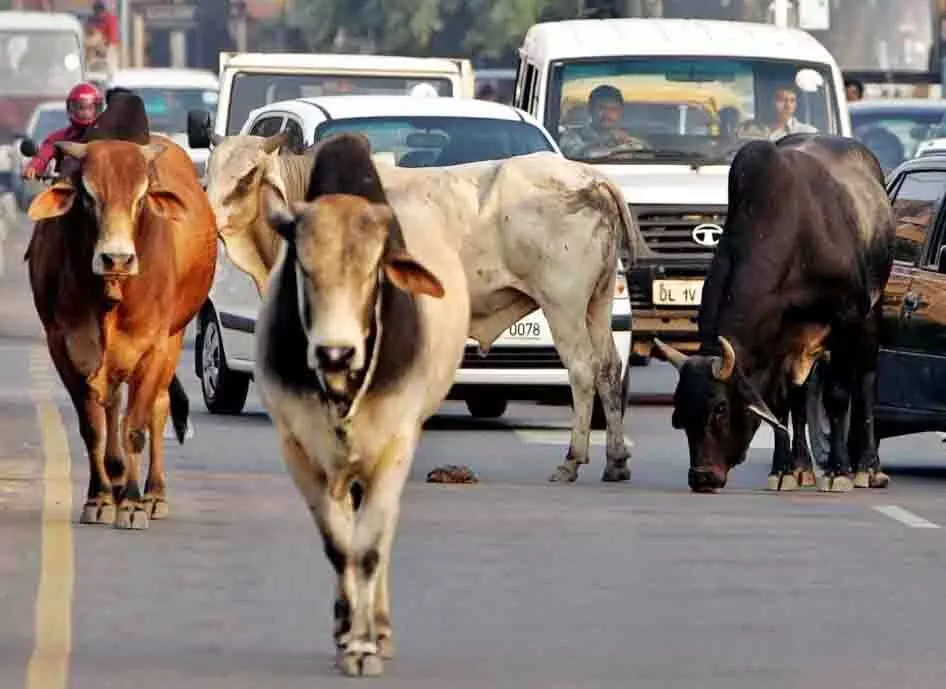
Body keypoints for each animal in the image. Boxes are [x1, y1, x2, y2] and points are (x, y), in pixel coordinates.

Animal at [26, 137, 219, 528]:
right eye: (88, 196)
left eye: (141, 197)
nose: (116, 258)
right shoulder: (63, 346)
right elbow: (94, 428)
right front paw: (99, 498)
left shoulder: (154, 347)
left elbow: (135, 428)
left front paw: (132, 504)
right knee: (112, 405)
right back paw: (114, 484)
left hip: (173, 339)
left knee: (157, 408)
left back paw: (153, 494)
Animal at [206, 130, 648, 484]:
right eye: (209, 171)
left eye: (247, 177)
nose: (209, 219)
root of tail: (591, 177)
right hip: (597, 302)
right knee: (609, 369)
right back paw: (616, 462)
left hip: (563, 305)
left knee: (583, 371)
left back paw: (572, 461)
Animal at [254, 133, 472, 672]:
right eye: (303, 267)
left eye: (375, 271)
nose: (335, 351)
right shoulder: (297, 449)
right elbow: (339, 547)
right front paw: (346, 635)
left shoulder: (395, 445)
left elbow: (370, 548)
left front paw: (366, 645)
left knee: (381, 533)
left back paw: (380, 625)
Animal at [656, 132, 892, 492]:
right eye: (680, 413)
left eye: (720, 408)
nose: (702, 477)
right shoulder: (779, 340)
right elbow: (779, 404)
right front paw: (783, 470)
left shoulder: (845, 319)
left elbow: (838, 397)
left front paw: (839, 472)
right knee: (799, 396)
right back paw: (802, 467)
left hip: (870, 316)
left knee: (865, 380)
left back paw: (867, 467)